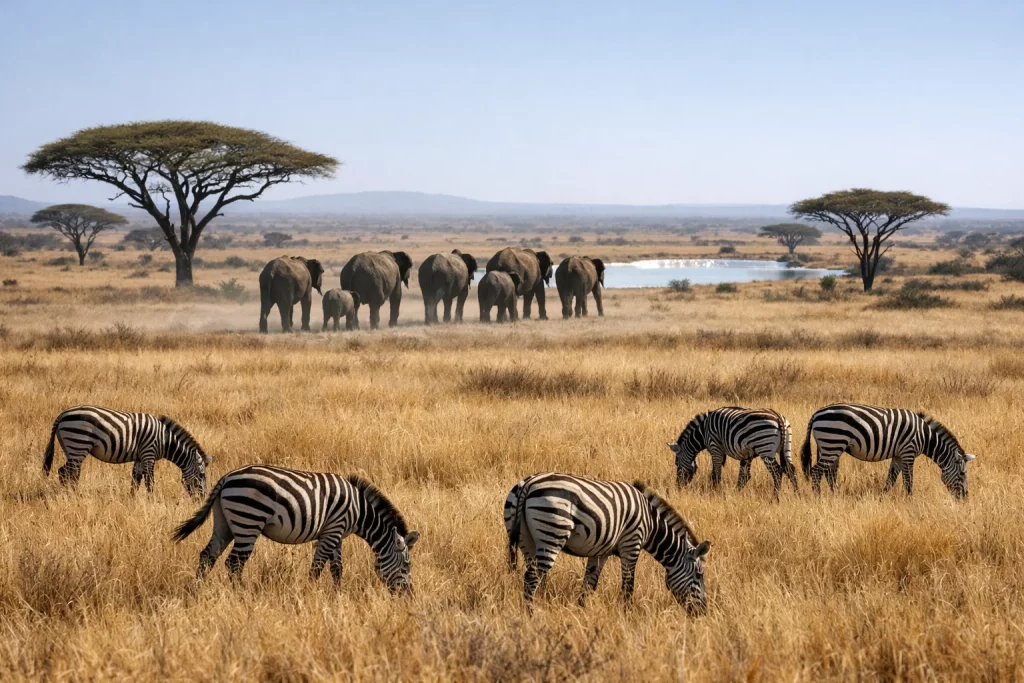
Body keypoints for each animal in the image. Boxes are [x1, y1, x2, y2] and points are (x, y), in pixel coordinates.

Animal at [43, 405, 210, 499]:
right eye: (202, 475)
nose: (202, 499)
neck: (165, 440)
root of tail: (61, 415)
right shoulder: (149, 453)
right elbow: (149, 480)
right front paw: (152, 500)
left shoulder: (140, 457)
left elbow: (136, 478)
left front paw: (132, 499)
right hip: (78, 443)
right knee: (68, 472)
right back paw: (73, 495)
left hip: (71, 448)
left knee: (64, 471)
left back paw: (70, 494)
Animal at [172, 465, 421, 593]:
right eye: (407, 565)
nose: (409, 596)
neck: (359, 510)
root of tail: (226, 478)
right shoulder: (333, 529)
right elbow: (318, 566)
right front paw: (310, 593)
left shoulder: (336, 533)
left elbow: (337, 567)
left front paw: (337, 594)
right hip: (248, 520)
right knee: (234, 563)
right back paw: (243, 593)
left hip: (224, 522)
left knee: (208, 555)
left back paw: (196, 590)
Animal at [504, 473, 711, 614]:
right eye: (699, 575)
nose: (702, 613)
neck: (651, 524)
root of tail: (529, 484)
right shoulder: (631, 545)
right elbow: (628, 586)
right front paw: (628, 615)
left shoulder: (600, 551)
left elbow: (589, 584)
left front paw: (581, 611)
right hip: (552, 532)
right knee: (532, 578)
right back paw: (530, 614)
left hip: (526, 540)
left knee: (534, 575)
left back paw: (540, 604)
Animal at [667, 407, 798, 497]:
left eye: (676, 464)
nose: (679, 487)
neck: (703, 432)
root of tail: (778, 416)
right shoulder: (747, 454)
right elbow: (744, 476)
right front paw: (736, 493)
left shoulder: (715, 448)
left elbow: (716, 474)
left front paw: (715, 492)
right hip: (786, 446)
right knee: (791, 469)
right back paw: (797, 494)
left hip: (765, 448)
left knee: (777, 472)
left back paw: (775, 498)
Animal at [800, 403, 976, 498]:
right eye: (963, 474)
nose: (965, 498)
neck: (925, 436)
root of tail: (816, 414)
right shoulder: (908, 452)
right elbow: (908, 480)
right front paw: (910, 499)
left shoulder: (898, 455)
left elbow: (891, 479)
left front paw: (882, 497)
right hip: (833, 443)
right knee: (816, 472)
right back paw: (818, 498)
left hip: (830, 447)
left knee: (829, 473)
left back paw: (836, 495)